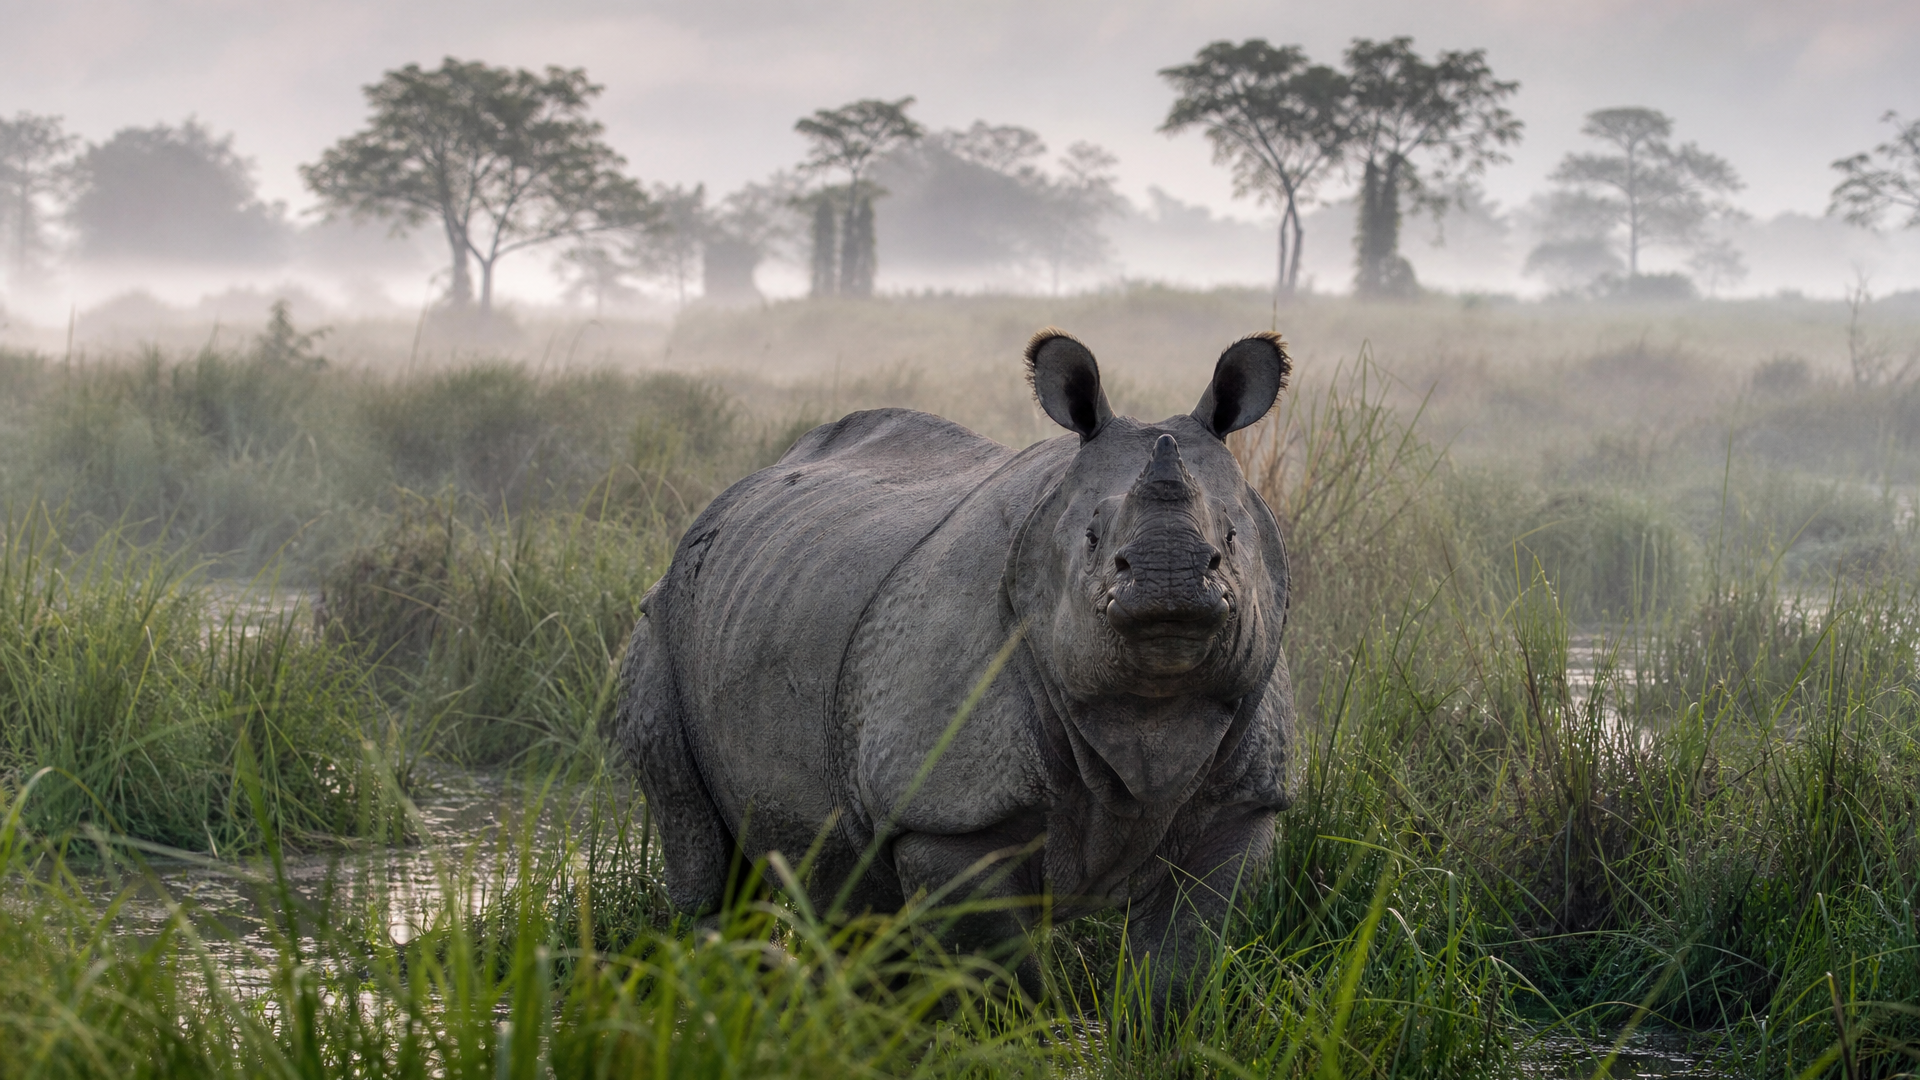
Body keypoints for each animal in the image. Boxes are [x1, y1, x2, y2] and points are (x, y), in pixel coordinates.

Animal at [610, 329, 1299, 1004]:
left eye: (1232, 540)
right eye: (1092, 538)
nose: (1170, 583)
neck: (1148, 714)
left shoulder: (1243, 803)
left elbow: (1182, 966)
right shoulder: (947, 819)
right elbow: (998, 982)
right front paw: (1022, 1031)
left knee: (852, 896)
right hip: (662, 620)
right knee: (709, 859)